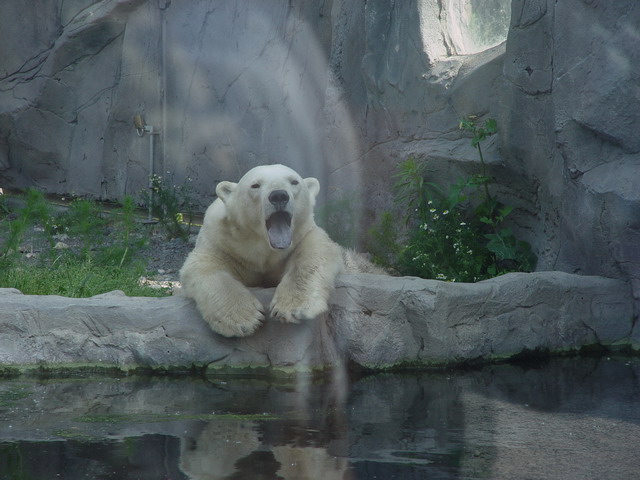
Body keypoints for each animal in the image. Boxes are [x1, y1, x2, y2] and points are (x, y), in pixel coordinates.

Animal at [180, 165, 380, 338]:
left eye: (294, 181)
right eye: (255, 185)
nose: (278, 196)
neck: (264, 247)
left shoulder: (303, 234)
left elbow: (315, 252)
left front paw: (293, 308)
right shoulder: (222, 242)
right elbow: (204, 265)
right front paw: (244, 319)